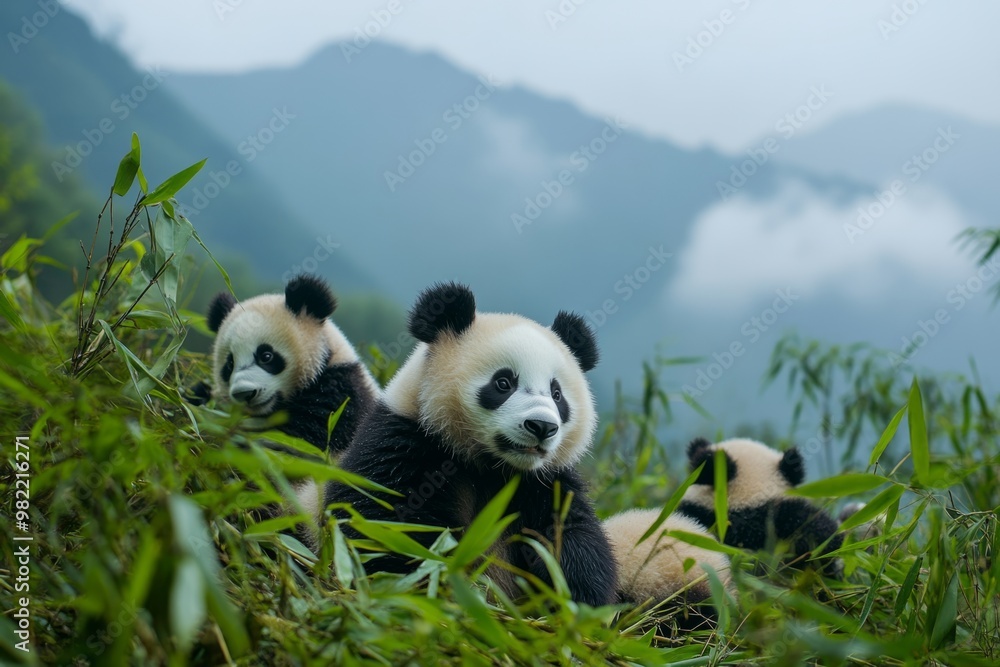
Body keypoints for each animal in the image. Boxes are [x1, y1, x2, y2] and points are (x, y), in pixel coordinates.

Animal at [325, 282, 617, 607]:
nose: (542, 426)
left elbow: (570, 535)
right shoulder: (404, 445)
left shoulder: (544, 481)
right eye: (503, 383)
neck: (491, 466)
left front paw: (574, 598)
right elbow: (383, 523)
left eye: (557, 394)